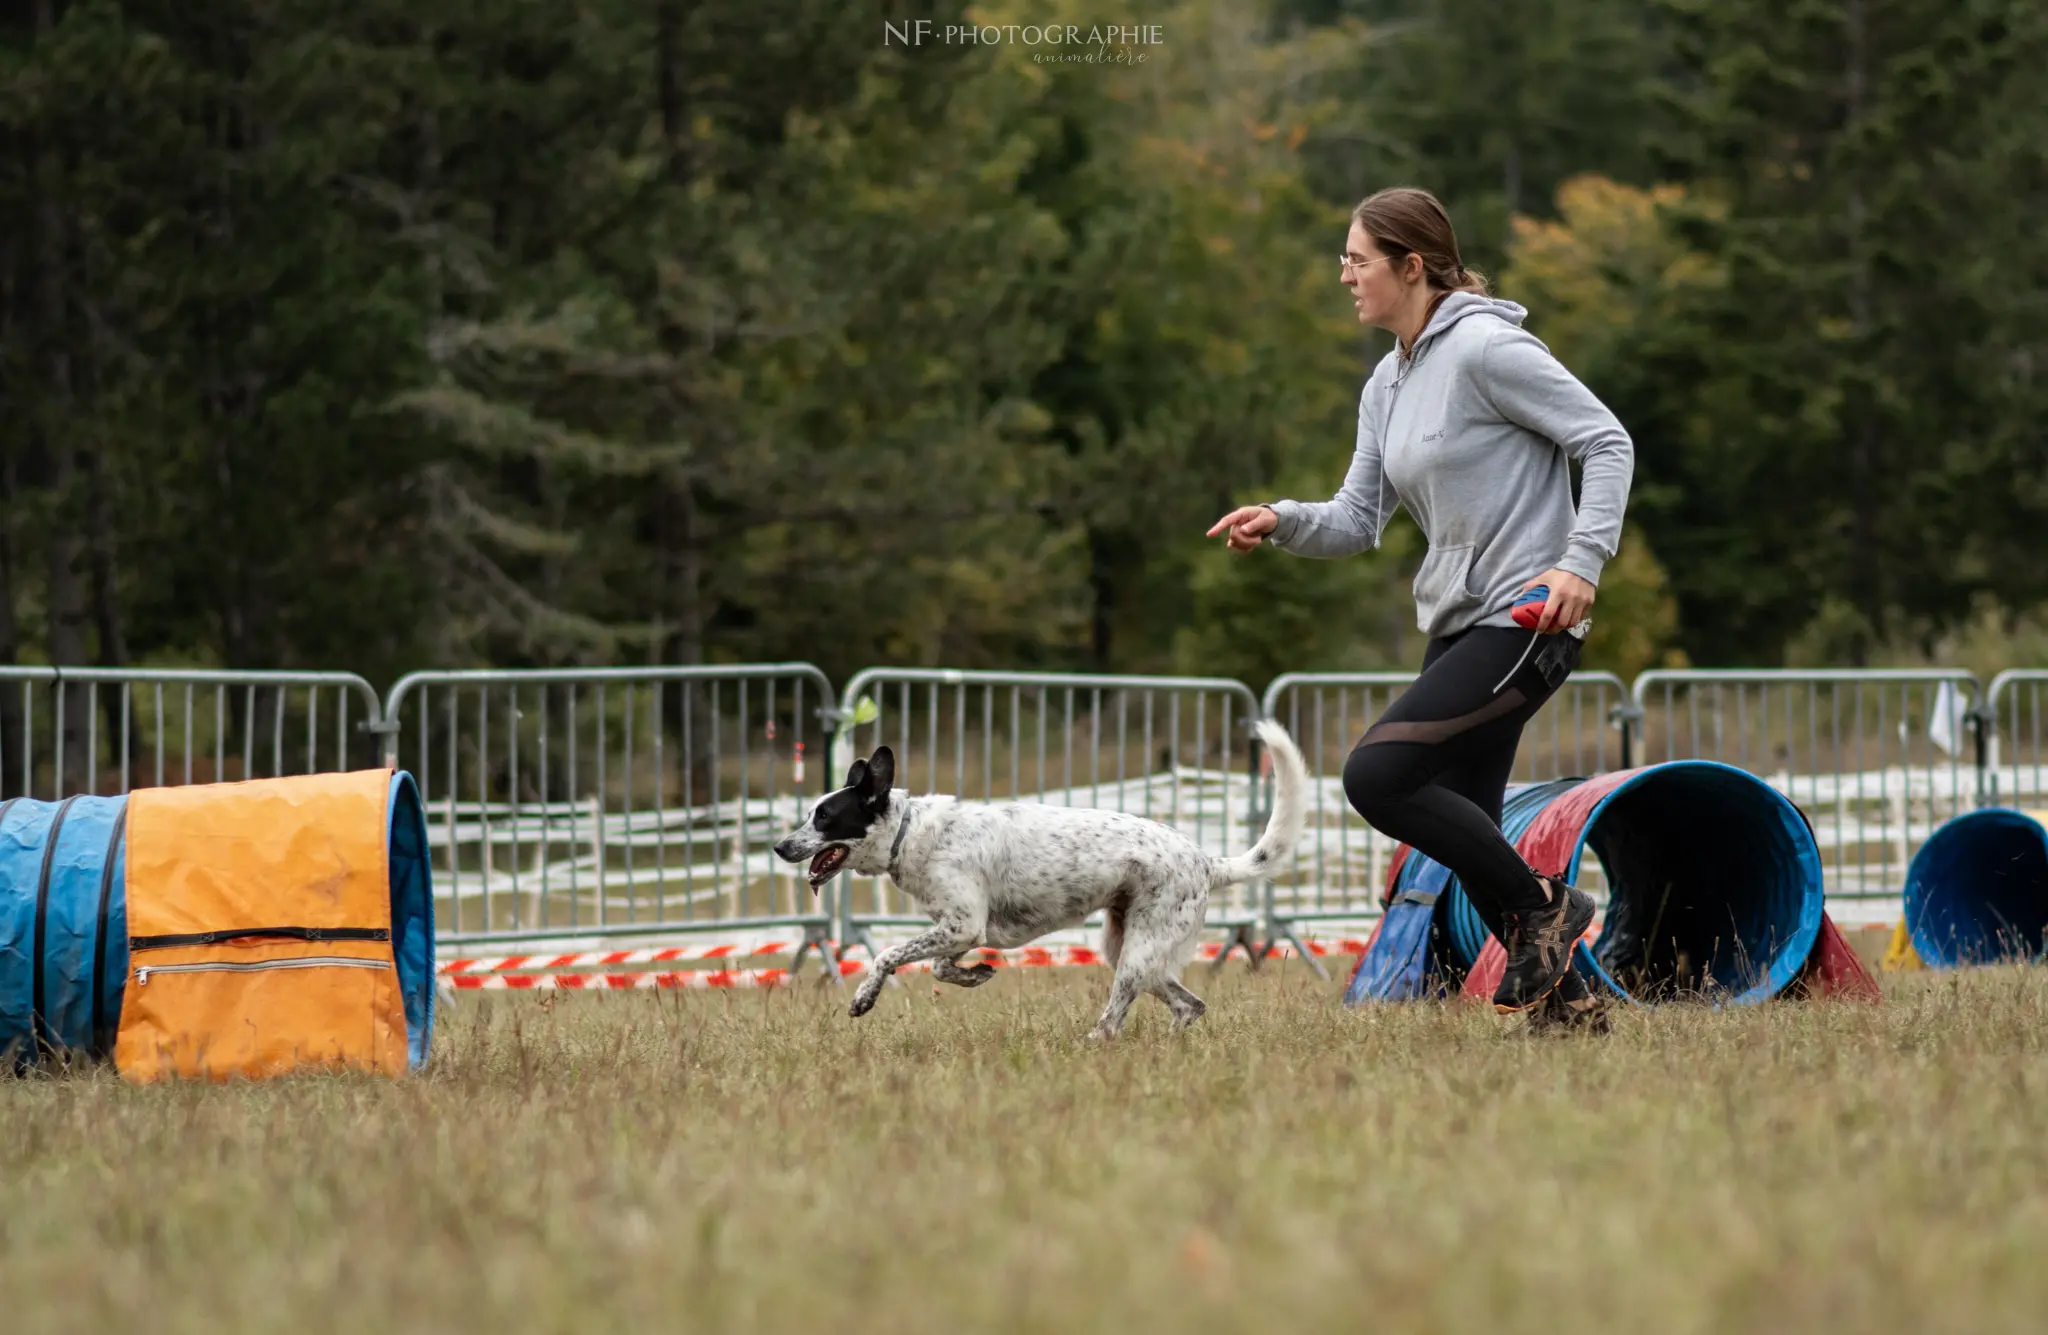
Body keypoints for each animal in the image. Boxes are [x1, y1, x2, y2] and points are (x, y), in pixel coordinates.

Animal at [770, 724, 1310, 1036]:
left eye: (824, 817)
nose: (779, 847)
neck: (912, 831)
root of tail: (1205, 860)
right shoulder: (963, 929)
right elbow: (942, 968)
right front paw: (976, 975)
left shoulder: (963, 925)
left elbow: (886, 956)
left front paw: (864, 997)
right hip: (1131, 950)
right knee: (1189, 1005)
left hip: (1137, 955)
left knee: (1116, 1020)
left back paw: (1093, 1045)